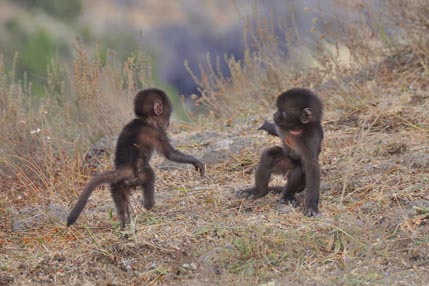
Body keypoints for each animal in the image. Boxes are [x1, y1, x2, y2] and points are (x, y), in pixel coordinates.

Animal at [67, 89, 205, 228]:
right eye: (168, 113)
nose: (168, 123)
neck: (145, 120)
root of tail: (121, 171)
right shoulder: (156, 131)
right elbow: (170, 153)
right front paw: (196, 162)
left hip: (117, 185)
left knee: (122, 204)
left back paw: (125, 224)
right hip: (134, 178)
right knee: (150, 174)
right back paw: (149, 206)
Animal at [236, 88, 322, 216]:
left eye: (282, 112)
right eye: (278, 109)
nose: (274, 114)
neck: (296, 129)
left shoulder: (312, 137)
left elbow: (312, 165)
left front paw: (311, 205)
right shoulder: (282, 127)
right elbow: (275, 131)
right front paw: (266, 125)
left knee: (300, 167)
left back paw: (287, 196)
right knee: (269, 155)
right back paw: (259, 191)